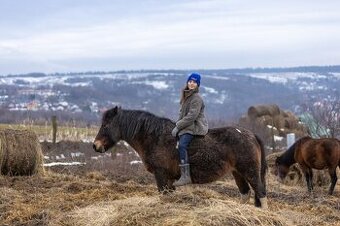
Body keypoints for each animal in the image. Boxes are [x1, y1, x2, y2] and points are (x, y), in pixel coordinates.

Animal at [93, 107, 268, 207]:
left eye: (106, 125)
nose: (95, 145)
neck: (155, 137)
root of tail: (251, 134)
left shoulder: (161, 175)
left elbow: (163, 196)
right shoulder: (169, 179)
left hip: (250, 171)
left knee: (260, 194)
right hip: (237, 173)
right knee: (245, 194)